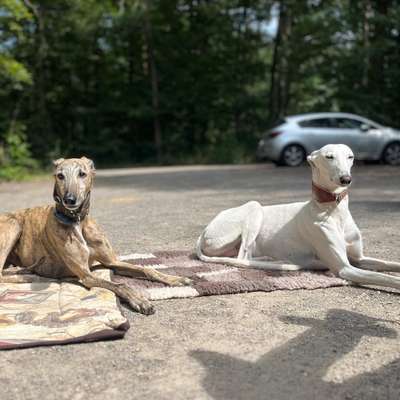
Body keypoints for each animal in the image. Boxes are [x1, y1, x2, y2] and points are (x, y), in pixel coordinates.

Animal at [0, 156, 191, 316]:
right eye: (60, 176)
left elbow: (147, 269)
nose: (70, 199)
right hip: (13, 225)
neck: (78, 222)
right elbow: (120, 284)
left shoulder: (111, 261)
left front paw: (176, 278)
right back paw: (29, 275)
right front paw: (139, 300)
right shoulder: (86, 275)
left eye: (82, 174)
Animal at [198, 144, 400, 290]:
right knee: (243, 257)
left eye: (350, 156)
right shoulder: (345, 268)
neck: (333, 210)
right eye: (329, 156)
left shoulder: (359, 259)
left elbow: (388, 264)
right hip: (254, 208)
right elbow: (384, 277)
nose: (346, 179)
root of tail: (204, 230)